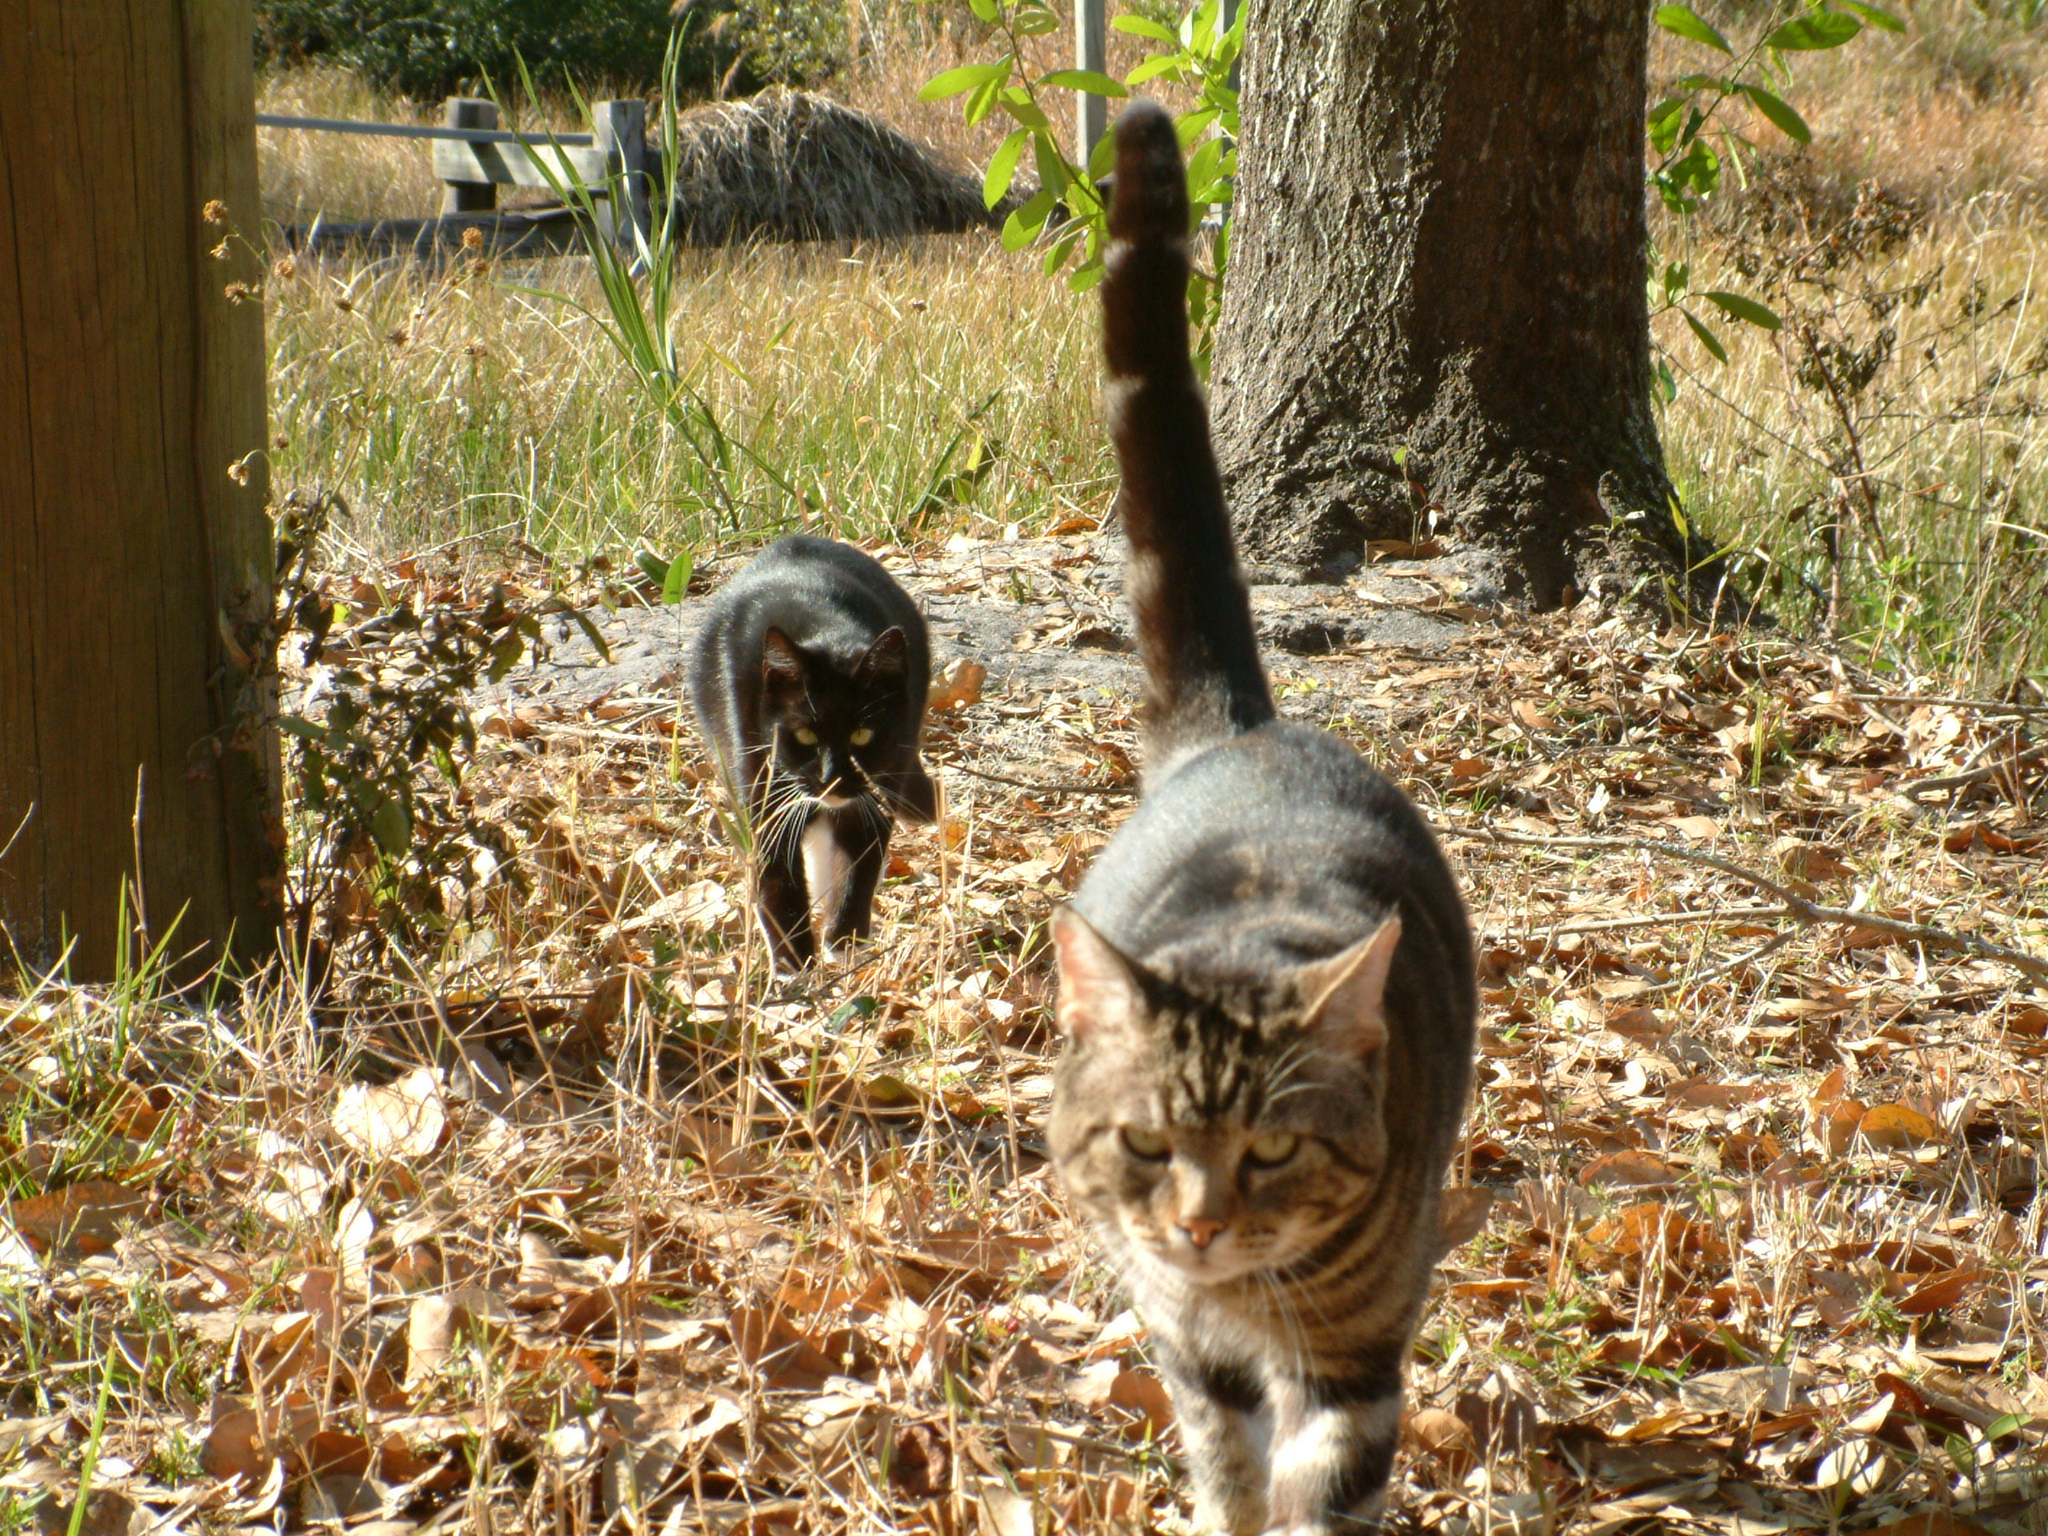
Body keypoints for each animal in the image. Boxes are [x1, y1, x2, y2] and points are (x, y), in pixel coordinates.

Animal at [687, 535, 936, 968]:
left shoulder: (877, 785)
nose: (830, 777)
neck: (826, 626)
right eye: (804, 735)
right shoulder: (762, 784)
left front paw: (844, 943)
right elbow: (776, 874)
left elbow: (858, 865)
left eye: (862, 735)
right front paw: (795, 963)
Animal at [1046, 103, 1477, 1535]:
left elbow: (1319, 1485)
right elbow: (1225, 1471)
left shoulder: (1356, 1359)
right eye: (1145, 1140)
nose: (1195, 1226)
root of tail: (1242, 726)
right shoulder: (1191, 1347)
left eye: (1275, 1148)